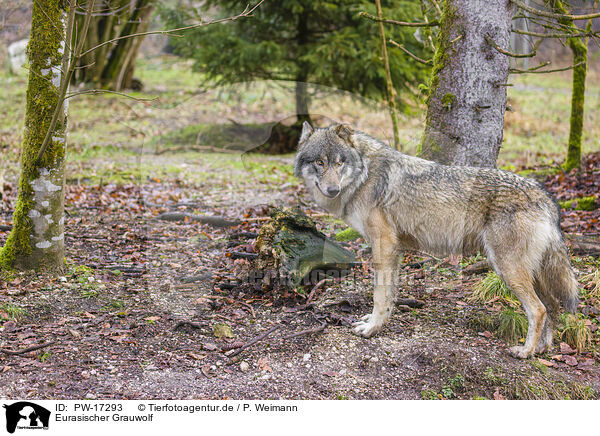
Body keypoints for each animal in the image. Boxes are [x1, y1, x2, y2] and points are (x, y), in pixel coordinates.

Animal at [292, 122, 580, 358]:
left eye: (339, 162)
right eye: (319, 162)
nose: (332, 190)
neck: (364, 174)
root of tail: (546, 198)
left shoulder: (383, 244)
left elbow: (379, 295)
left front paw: (372, 328)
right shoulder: (393, 249)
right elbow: (390, 295)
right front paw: (379, 323)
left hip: (507, 269)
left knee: (538, 309)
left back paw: (525, 352)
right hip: (531, 273)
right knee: (552, 306)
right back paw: (543, 349)